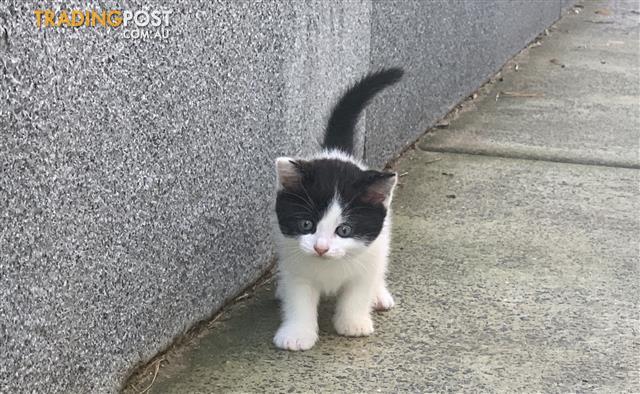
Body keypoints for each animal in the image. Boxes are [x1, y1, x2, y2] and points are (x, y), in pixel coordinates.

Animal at [272, 67, 402, 350]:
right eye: (306, 224)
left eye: (344, 230)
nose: (321, 248)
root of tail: (337, 153)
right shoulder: (296, 266)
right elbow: (298, 298)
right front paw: (297, 333)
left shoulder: (367, 257)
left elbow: (357, 292)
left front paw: (353, 323)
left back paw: (379, 295)